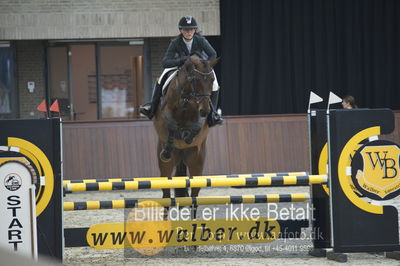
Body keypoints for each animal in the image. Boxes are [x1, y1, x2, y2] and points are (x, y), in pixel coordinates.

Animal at [152, 53, 219, 217]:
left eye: (212, 80)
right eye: (195, 80)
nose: (205, 111)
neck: (187, 98)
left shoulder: (199, 121)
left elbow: (195, 128)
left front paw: (187, 136)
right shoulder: (165, 116)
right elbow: (170, 126)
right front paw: (169, 147)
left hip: (197, 165)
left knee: (194, 197)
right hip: (166, 168)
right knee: (166, 197)